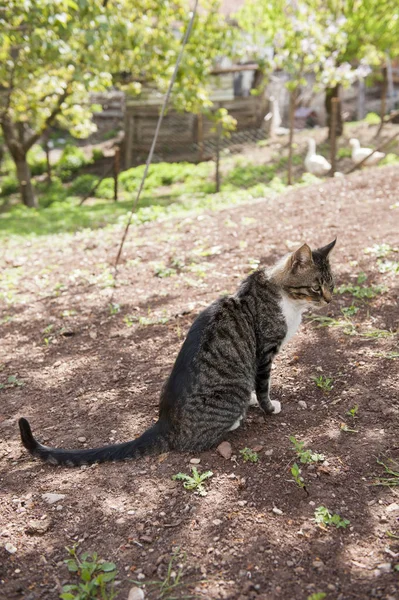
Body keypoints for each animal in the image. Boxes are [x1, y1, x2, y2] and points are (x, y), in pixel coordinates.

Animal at [19, 238, 338, 464]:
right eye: (315, 287)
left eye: (331, 285)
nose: (329, 301)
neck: (284, 297)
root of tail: (163, 423)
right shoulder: (264, 353)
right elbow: (263, 388)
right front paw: (269, 407)